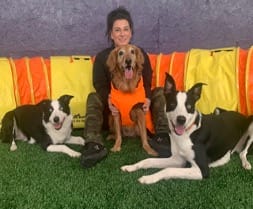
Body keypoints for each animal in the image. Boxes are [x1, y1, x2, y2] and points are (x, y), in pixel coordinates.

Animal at [121, 73, 252, 183]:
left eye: (189, 106)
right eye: (172, 104)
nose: (181, 119)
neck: (188, 133)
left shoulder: (202, 170)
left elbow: (168, 169)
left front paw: (148, 178)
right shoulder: (177, 159)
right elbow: (149, 160)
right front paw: (131, 167)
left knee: (243, 153)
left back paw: (246, 164)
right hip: (217, 110)